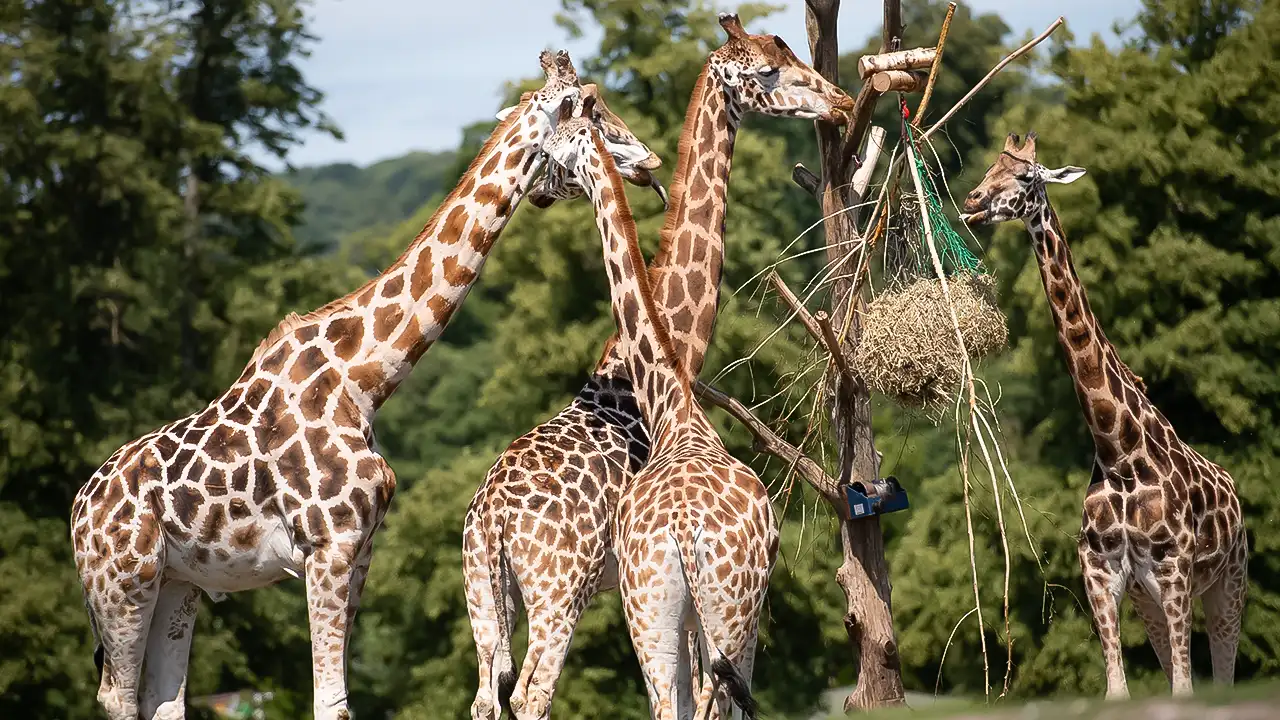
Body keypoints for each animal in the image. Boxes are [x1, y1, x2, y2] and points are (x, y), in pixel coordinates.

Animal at [68, 50, 665, 717]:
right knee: (116, 696)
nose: (650, 159)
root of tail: (78, 510)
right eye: (592, 108)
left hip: (180, 583)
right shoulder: (326, 547)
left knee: (161, 700)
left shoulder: (360, 550)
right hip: (123, 581)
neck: (364, 379)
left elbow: (340, 695)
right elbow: (330, 700)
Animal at [460, 12, 849, 717]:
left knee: (487, 694)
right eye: (771, 69)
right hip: (562, 592)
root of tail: (495, 519)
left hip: (485, 593)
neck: (677, 340)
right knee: (538, 692)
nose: (839, 102)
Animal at [962, 133, 1244, 696]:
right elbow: (1118, 688)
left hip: (1228, 584)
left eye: (1025, 176)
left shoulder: (1174, 572)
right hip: (1149, 600)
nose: (973, 201)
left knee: (1222, 673)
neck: (1119, 453)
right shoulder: (1103, 574)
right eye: (989, 169)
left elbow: (1184, 686)